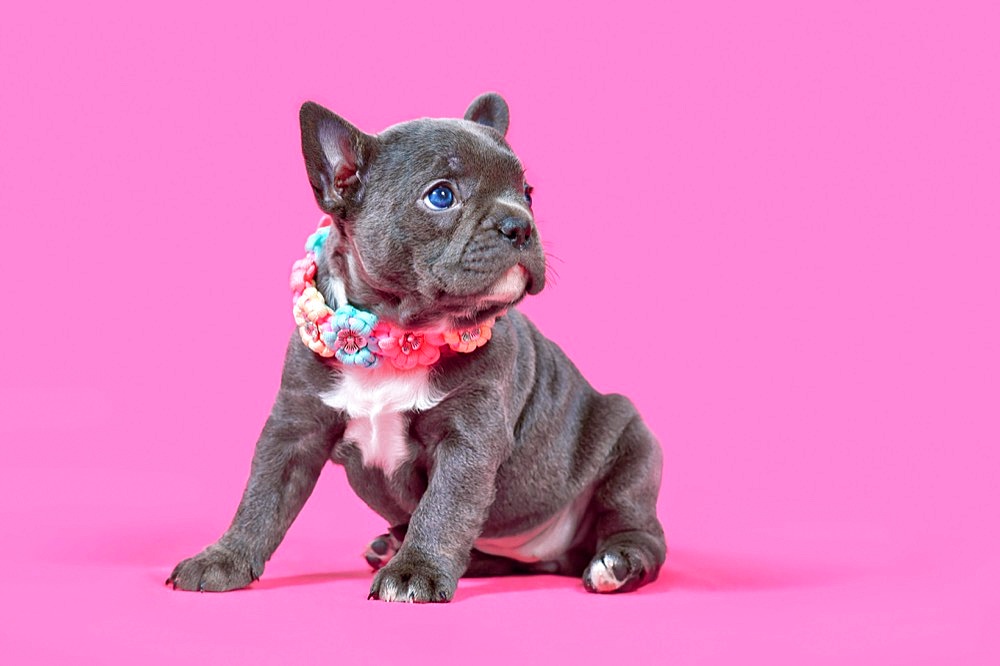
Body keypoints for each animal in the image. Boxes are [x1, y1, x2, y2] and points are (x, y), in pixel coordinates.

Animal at [168, 91, 668, 600]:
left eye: (528, 192)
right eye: (441, 195)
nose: (520, 223)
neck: (397, 333)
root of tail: (547, 557)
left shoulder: (468, 439)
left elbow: (444, 509)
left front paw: (415, 572)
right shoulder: (294, 428)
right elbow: (262, 497)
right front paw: (223, 557)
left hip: (631, 447)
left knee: (637, 528)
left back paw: (616, 563)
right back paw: (395, 546)